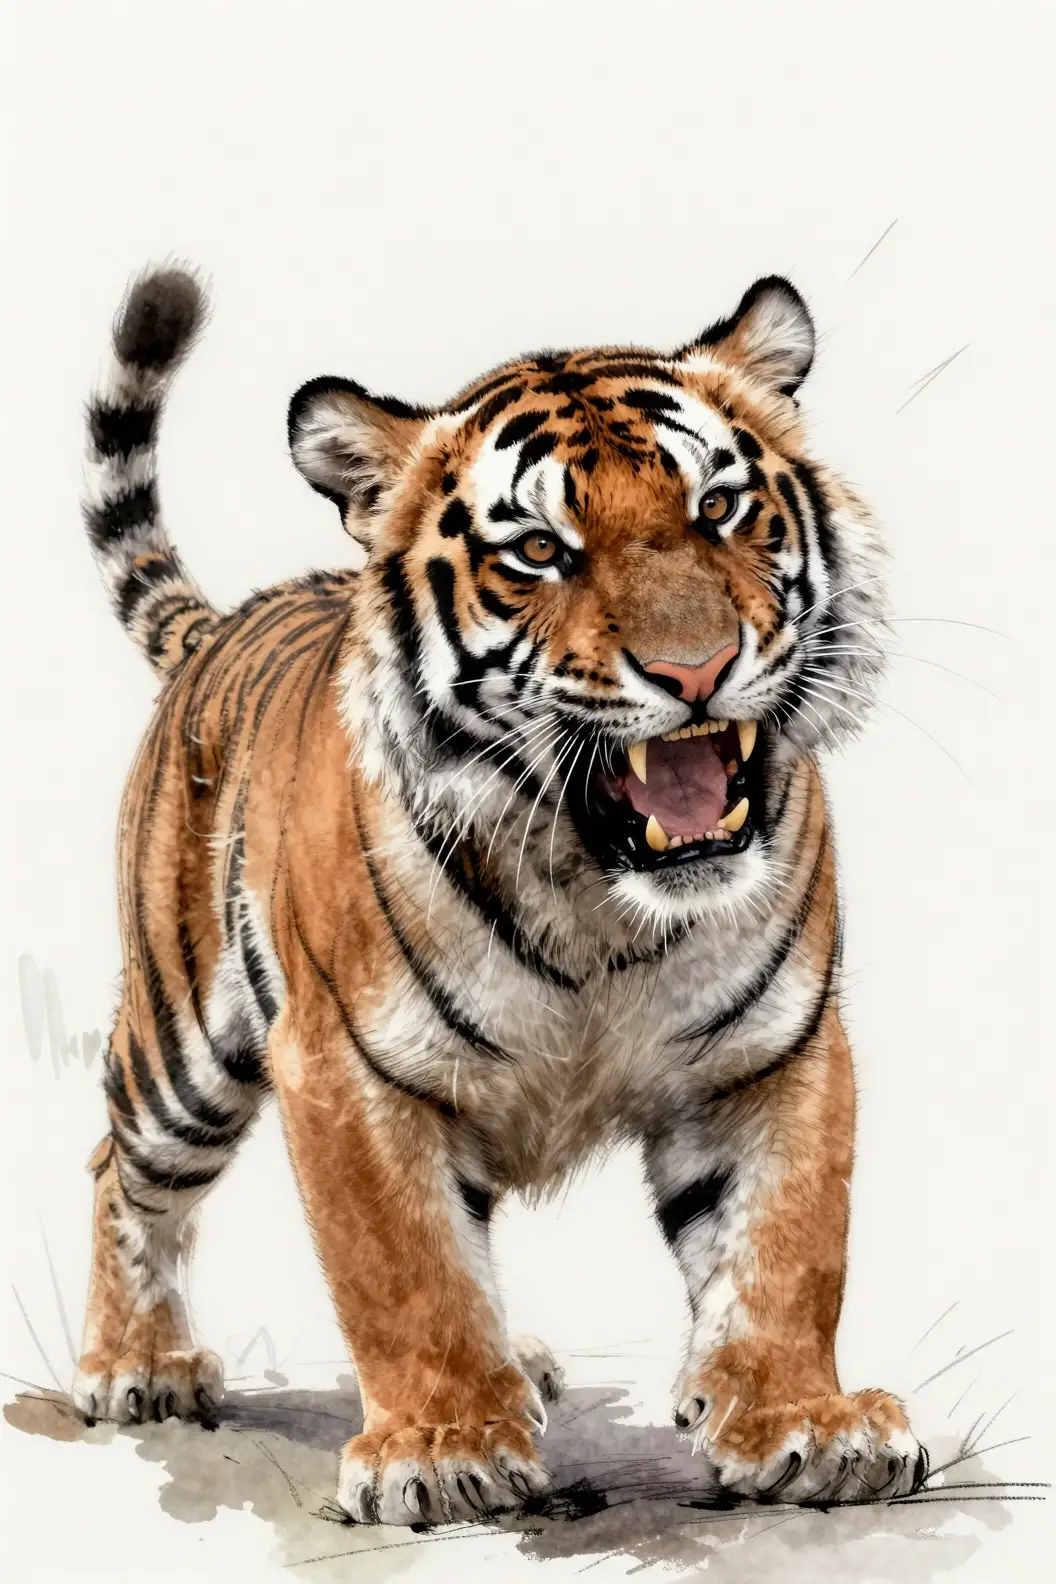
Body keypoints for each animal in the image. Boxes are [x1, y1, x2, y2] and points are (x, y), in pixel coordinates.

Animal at [71, 263, 927, 1526]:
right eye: (536, 551)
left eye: (721, 507)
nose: (695, 670)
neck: (601, 899)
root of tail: (225, 621)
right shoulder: (349, 1070)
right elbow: (405, 1271)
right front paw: (440, 1448)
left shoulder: (774, 1051)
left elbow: (784, 1247)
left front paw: (803, 1422)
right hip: (184, 1048)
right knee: (121, 1169)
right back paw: (138, 1364)